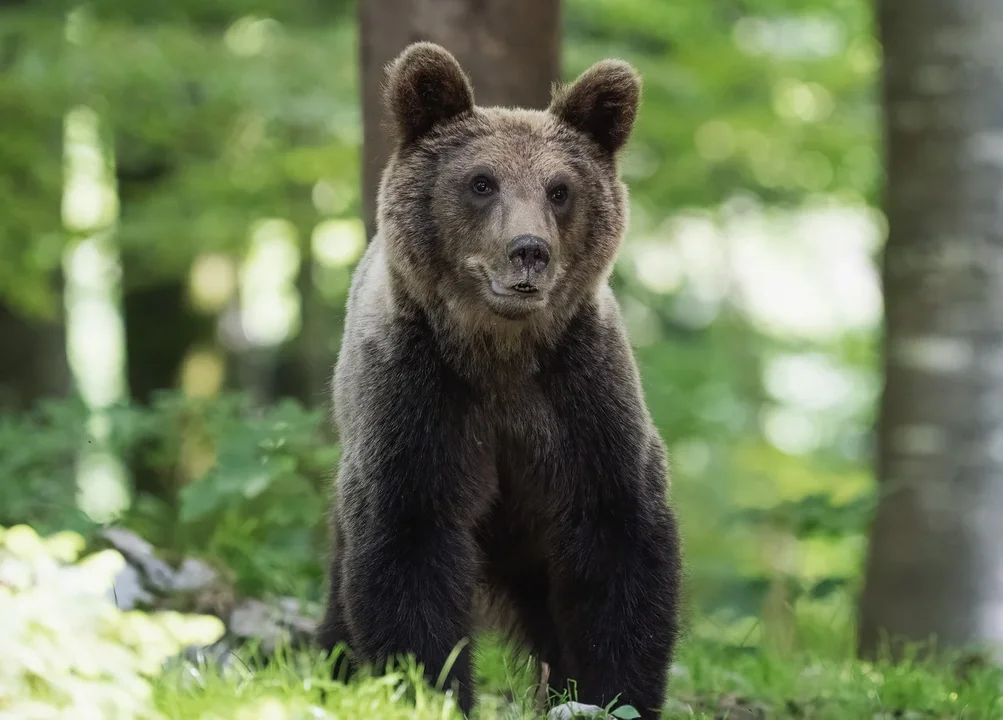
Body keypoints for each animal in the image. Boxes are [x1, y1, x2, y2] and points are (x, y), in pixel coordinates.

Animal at [316, 42, 686, 717]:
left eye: (560, 189)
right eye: (481, 182)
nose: (529, 250)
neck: (501, 355)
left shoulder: (581, 401)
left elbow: (618, 540)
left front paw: (615, 691)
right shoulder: (419, 401)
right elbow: (410, 547)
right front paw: (429, 686)